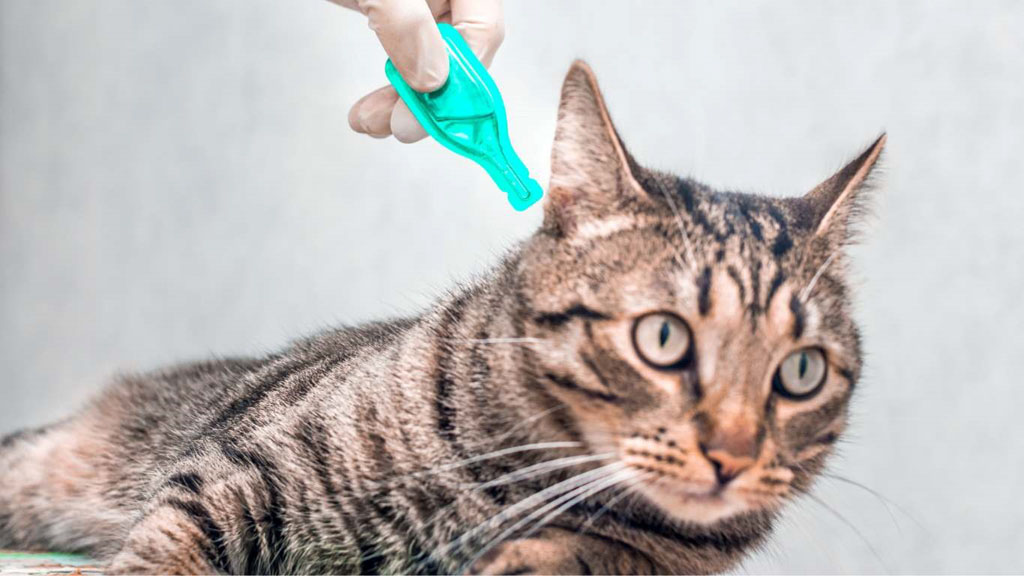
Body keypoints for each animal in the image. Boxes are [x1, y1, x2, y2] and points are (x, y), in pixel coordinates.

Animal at [0, 60, 880, 569]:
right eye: (663, 338)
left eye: (800, 373)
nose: (733, 454)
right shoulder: (235, 472)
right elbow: (167, 551)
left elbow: (598, 555)